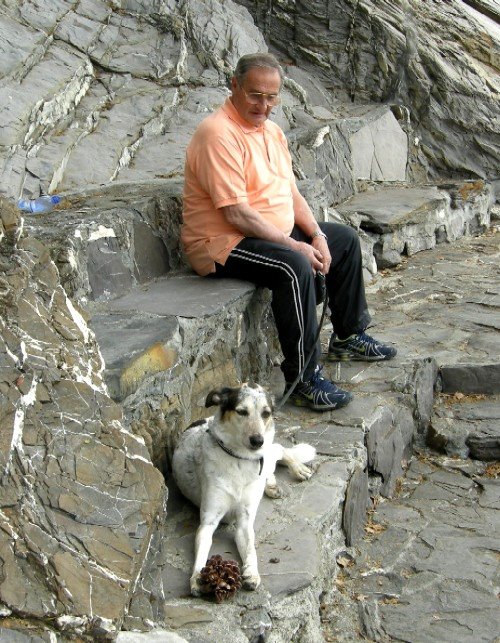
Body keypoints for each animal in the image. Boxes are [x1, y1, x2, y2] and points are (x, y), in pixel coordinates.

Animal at [170, 382, 314, 600]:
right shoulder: (208, 522)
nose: (257, 440)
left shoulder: (245, 522)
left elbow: (251, 550)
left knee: (278, 450)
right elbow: (202, 554)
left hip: (267, 452)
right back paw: (271, 485)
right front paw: (196, 578)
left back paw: (297, 469)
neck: (239, 459)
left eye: (266, 413)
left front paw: (252, 573)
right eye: (241, 411)